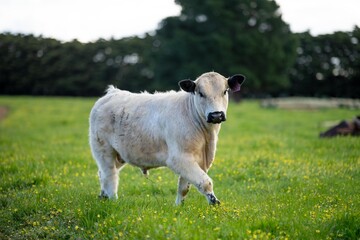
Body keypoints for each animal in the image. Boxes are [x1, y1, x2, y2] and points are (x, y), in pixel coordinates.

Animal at [89, 71, 245, 204]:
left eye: (225, 91)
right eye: (200, 93)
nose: (216, 115)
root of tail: (112, 93)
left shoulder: (196, 160)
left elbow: (184, 188)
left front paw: (179, 207)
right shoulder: (179, 158)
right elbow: (205, 182)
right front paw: (214, 203)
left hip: (120, 154)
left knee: (103, 174)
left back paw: (103, 197)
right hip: (104, 150)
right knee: (110, 176)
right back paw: (113, 200)